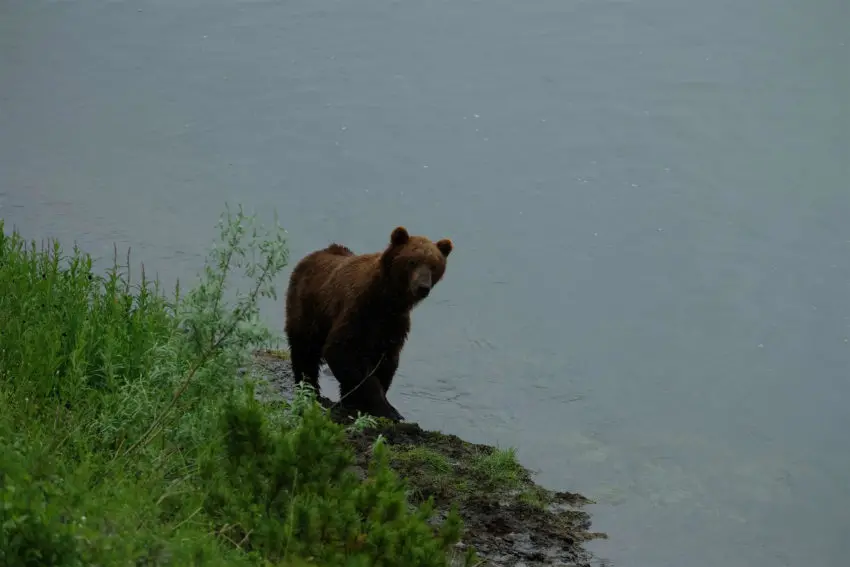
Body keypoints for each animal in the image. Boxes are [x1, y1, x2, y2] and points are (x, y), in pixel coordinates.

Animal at [284, 226, 454, 422]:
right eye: (412, 261)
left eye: (434, 265)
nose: (423, 287)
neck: (387, 300)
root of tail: (311, 256)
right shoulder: (358, 312)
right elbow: (342, 351)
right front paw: (386, 409)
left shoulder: (393, 325)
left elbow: (387, 362)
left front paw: (358, 401)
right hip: (307, 309)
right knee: (304, 351)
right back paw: (309, 389)